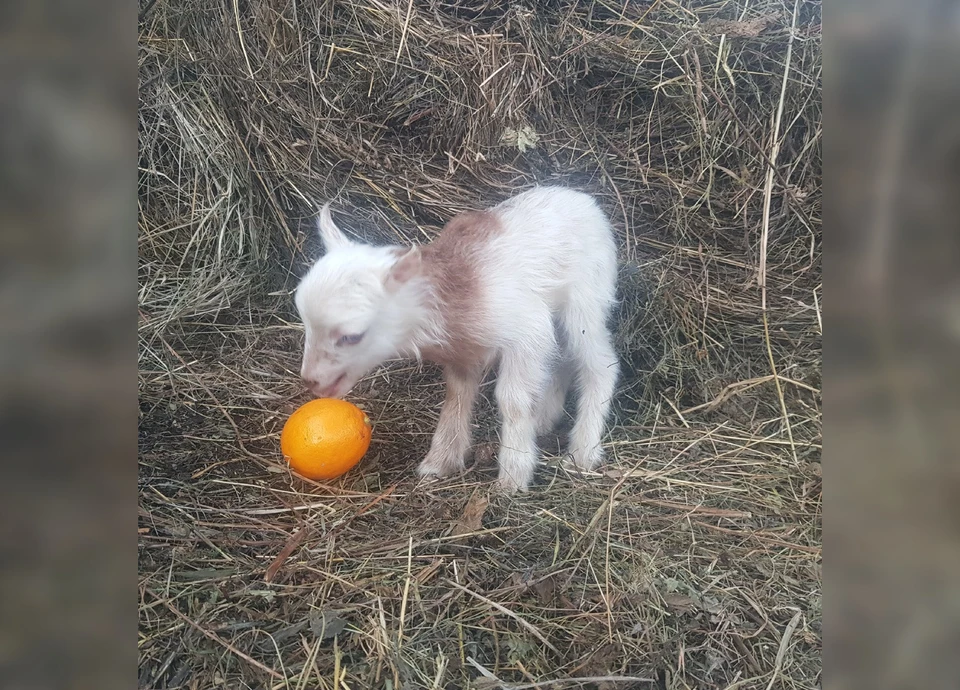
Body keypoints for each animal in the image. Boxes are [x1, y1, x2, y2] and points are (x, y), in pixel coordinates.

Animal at [296, 188, 620, 490]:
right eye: (305, 322)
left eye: (352, 336)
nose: (311, 380)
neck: (462, 293)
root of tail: (581, 197)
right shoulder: (462, 350)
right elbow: (457, 395)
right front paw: (440, 461)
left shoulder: (528, 330)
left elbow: (513, 400)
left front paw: (513, 476)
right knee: (562, 359)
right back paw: (544, 419)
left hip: (586, 299)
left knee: (601, 364)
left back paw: (583, 452)